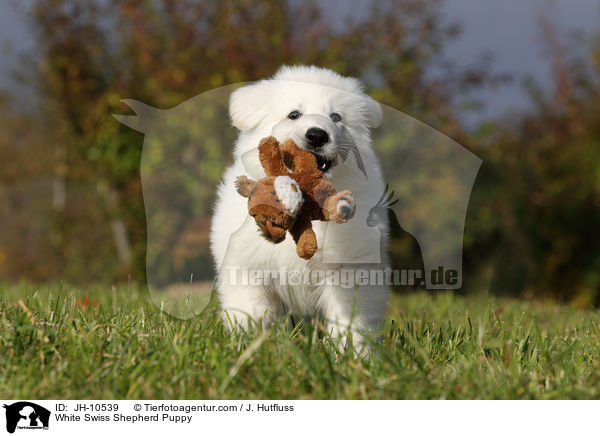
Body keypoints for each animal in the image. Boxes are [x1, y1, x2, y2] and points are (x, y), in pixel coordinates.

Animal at [211, 65, 390, 348]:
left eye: (336, 117)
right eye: (294, 114)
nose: (317, 135)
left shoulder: (348, 269)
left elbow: (349, 320)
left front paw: (352, 353)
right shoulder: (246, 269)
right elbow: (252, 314)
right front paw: (252, 348)